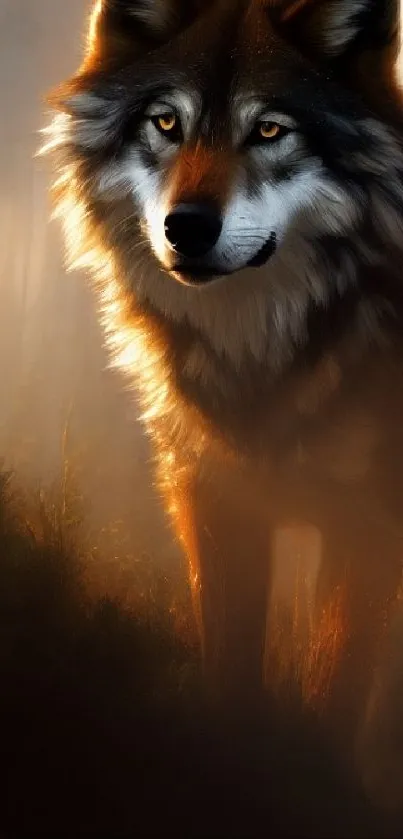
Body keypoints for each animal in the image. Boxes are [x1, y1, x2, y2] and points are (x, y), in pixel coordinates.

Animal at [44, 0, 403, 744]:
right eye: (166, 123)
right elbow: (231, 670)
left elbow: (335, 689)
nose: (186, 227)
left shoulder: (367, 531)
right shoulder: (214, 502)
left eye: (268, 130)